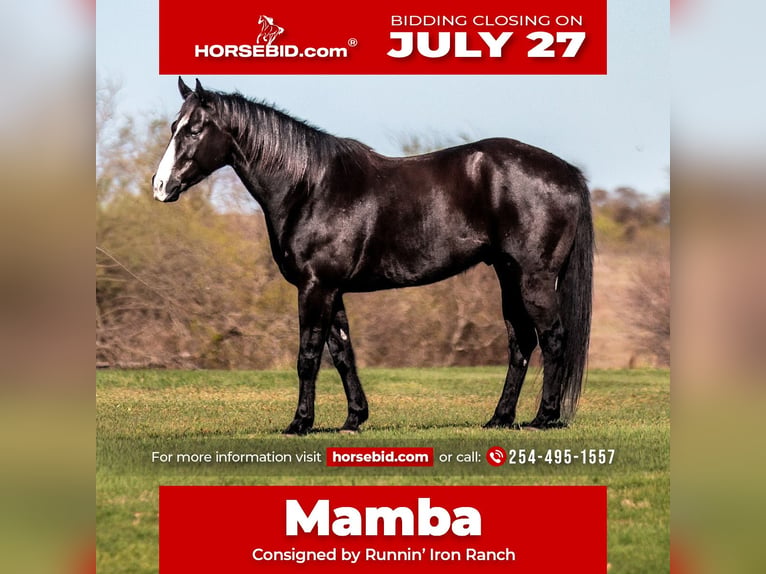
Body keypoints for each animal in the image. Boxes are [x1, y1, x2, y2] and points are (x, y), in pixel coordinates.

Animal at [152, 78, 594, 435]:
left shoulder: (316, 287)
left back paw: (543, 418)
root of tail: (568, 173)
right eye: (174, 127)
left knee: (553, 339)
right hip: (508, 274)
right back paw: (500, 418)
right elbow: (342, 353)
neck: (309, 187)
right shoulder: (331, 290)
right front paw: (353, 419)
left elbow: (308, 356)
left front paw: (299, 423)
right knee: (521, 342)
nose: (160, 186)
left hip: (534, 278)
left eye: (195, 128)